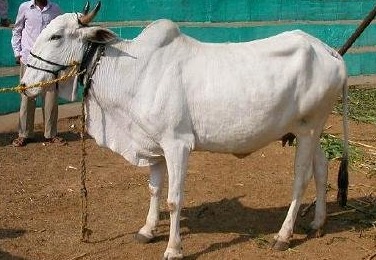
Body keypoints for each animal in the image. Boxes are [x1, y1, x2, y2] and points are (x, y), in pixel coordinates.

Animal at [22, 3, 348, 258]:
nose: (24, 84)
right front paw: (147, 230)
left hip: (308, 129)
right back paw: (317, 223)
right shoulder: (151, 144)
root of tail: (329, 51)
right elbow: (154, 189)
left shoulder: (177, 144)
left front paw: (173, 248)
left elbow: (173, 198)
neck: (133, 70)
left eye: (56, 36)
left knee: (301, 178)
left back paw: (283, 235)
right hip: (309, 130)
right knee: (322, 167)